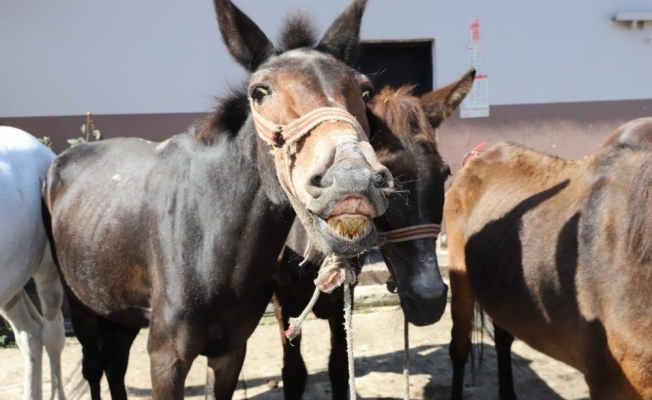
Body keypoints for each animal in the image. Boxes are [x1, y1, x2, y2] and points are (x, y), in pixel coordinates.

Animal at [41, 1, 394, 399]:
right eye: (259, 92)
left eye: (364, 92)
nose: (353, 180)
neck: (209, 240)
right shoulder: (166, 358)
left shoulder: (230, 352)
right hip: (82, 307)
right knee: (93, 366)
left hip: (120, 307)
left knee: (114, 363)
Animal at [272, 69, 476, 400]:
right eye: (383, 180)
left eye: (444, 173)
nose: (429, 301)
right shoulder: (281, 299)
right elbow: (293, 373)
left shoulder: (347, 293)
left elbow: (340, 368)